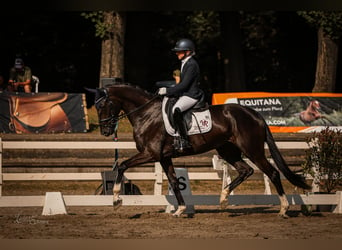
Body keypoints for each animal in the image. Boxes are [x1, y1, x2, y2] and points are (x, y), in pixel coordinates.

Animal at [87, 84, 312, 217]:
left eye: (104, 105)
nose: (106, 131)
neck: (146, 113)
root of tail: (255, 114)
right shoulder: (163, 157)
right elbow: (174, 181)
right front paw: (180, 209)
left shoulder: (150, 154)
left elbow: (122, 166)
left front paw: (116, 199)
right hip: (227, 150)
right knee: (245, 170)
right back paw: (223, 199)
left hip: (252, 150)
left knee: (272, 172)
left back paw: (283, 208)